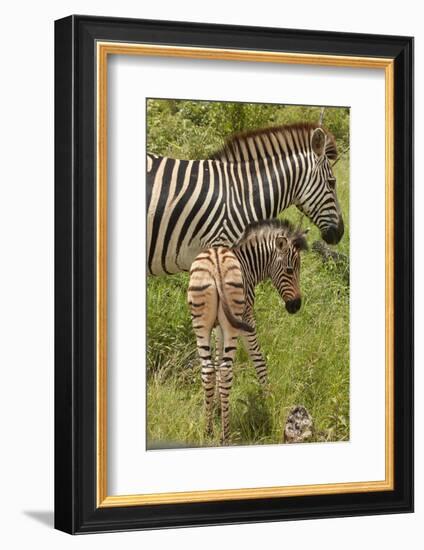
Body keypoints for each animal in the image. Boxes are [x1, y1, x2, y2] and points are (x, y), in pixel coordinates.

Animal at [189, 219, 308, 444]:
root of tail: (216, 266)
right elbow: (258, 359)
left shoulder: (218, 327)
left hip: (200, 322)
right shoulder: (246, 317)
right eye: (290, 270)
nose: (296, 306)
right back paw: (225, 435)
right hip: (234, 323)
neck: (248, 264)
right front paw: (268, 398)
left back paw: (207, 430)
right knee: (226, 369)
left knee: (208, 369)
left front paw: (217, 405)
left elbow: (216, 360)